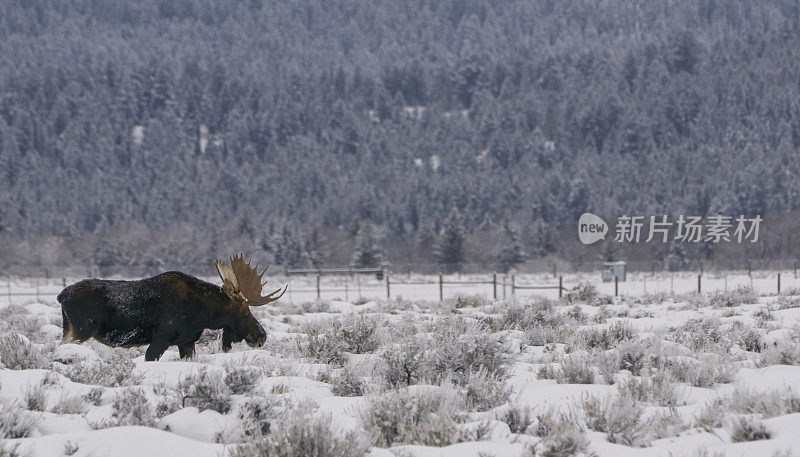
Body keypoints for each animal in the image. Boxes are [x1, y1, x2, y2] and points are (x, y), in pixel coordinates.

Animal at [57, 255, 286, 358]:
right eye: (245, 311)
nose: (261, 336)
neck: (203, 314)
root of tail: (61, 295)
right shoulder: (161, 338)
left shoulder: (186, 341)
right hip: (80, 331)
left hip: (71, 330)